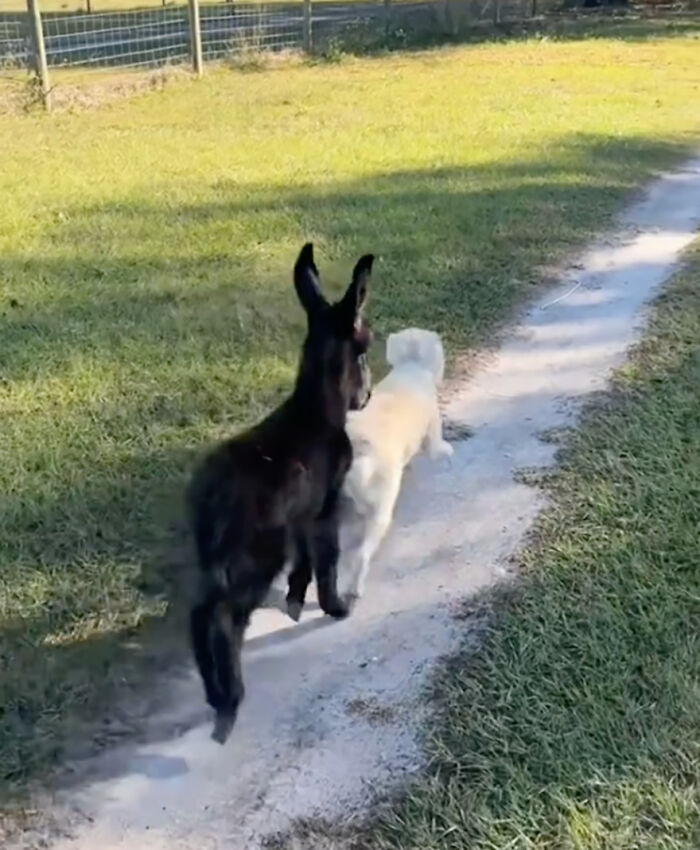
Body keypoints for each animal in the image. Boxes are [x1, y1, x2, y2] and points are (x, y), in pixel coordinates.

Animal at [340, 328, 454, 600]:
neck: (412, 366)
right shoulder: (433, 427)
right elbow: (437, 448)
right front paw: (448, 451)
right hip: (383, 504)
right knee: (362, 554)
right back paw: (356, 588)